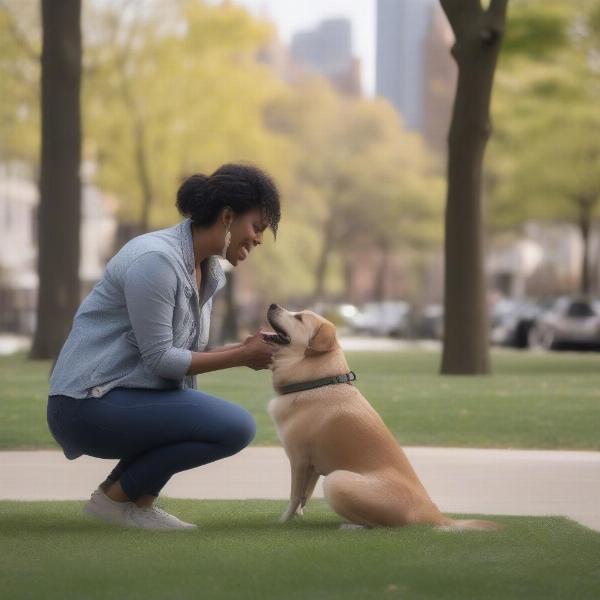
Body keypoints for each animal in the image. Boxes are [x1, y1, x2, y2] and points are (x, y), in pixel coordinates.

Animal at [264, 304, 500, 528]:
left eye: (299, 317)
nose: (273, 305)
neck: (316, 382)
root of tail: (434, 515)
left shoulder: (299, 460)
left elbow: (295, 496)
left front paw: (283, 522)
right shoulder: (312, 467)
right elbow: (305, 497)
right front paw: (297, 517)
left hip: (336, 480)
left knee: (378, 524)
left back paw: (352, 526)